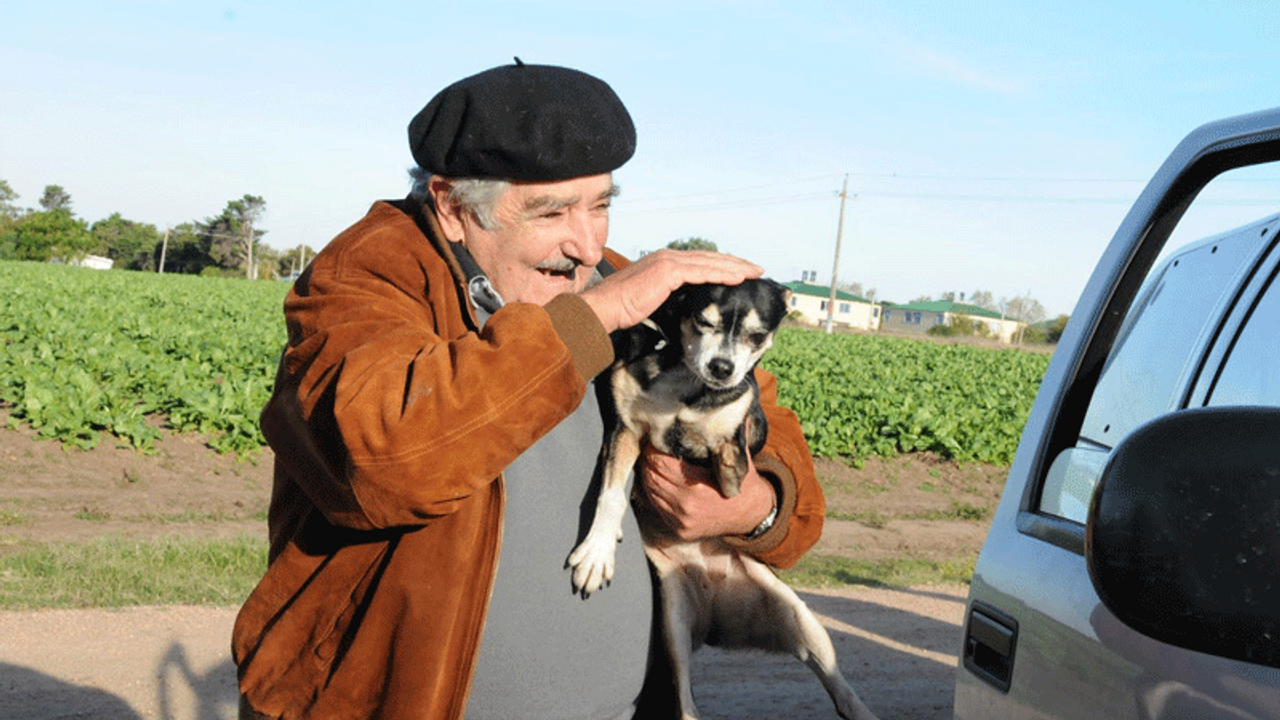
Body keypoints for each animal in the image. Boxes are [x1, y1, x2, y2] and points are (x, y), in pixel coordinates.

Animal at [570, 279, 880, 717]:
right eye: (703, 322)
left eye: (757, 335)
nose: (722, 368)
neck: (686, 386)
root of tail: (716, 613)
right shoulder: (626, 431)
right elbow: (612, 495)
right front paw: (598, 551)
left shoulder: (735, 435)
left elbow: (735, 450)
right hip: (675, 629)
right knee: (686, 705)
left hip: (803, 621)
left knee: (839, 685)